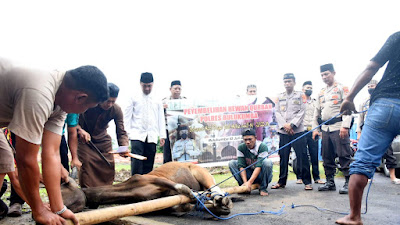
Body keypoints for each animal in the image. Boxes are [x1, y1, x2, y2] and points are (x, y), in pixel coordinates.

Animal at [61, 162, 233, 216]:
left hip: (203, 174)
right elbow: (186, 205)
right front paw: (217, 207)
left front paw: (220, 203)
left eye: (63, 189)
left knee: (213, 187)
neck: (131, 188)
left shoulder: (155, 179)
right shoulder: (165, 204)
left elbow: (186, 189)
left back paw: (222, 198)